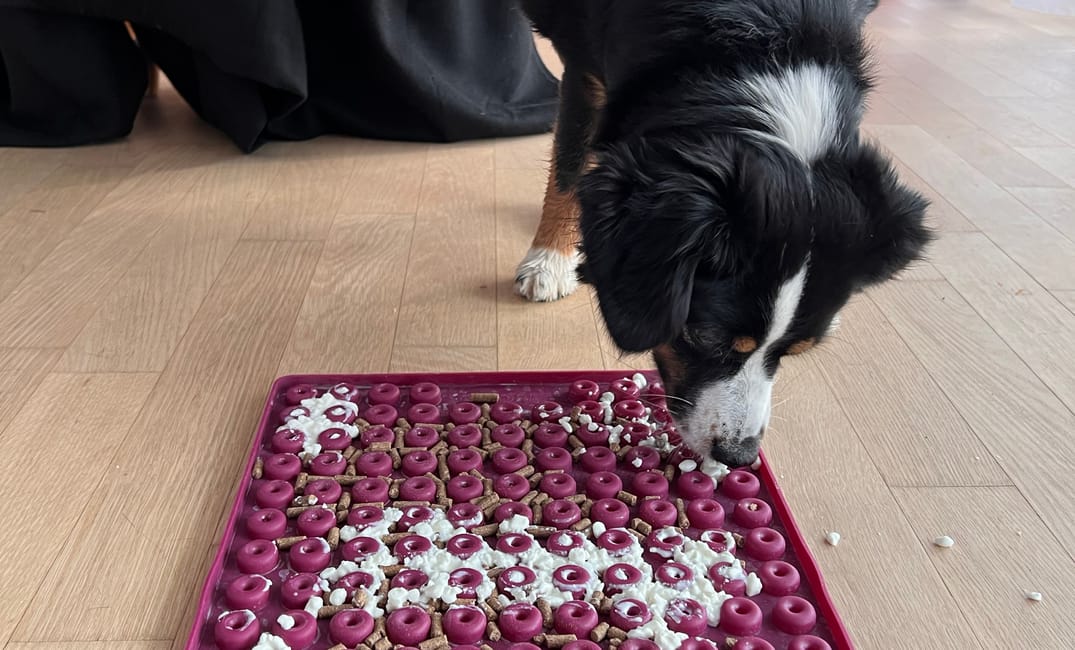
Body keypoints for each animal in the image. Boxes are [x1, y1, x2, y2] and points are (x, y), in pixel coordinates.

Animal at [516, 0, 928, 466]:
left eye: (796, 351)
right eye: (706, 336)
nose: (738, 456)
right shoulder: (584, 64)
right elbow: (568, 169)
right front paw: (549, 261)